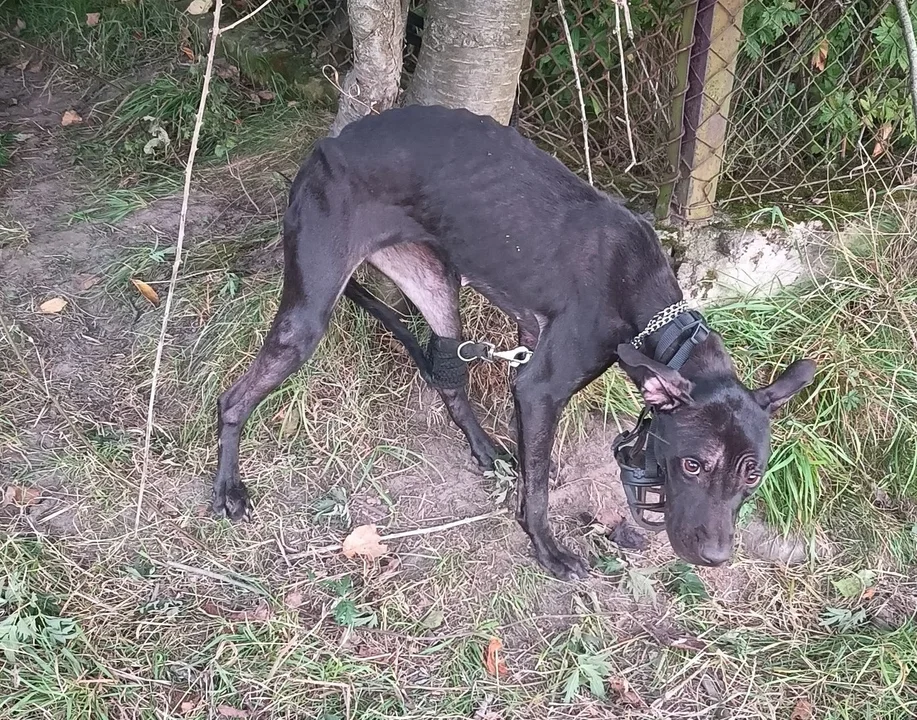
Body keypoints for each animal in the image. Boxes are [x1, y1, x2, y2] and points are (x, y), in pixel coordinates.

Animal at [209, 105, 816, 580]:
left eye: (752, 475)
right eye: (692, 465)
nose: (714, 559)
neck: (647, 301)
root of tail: (323, 149)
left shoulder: (528, 350)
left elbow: (534, 458)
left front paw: (524, 470)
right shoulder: (541, 385)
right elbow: (540, 487)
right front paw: (547, 550)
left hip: (437, 287)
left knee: (450, 380)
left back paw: (484, 449)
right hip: (307, 315)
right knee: (233, 398)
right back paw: (229, 488)